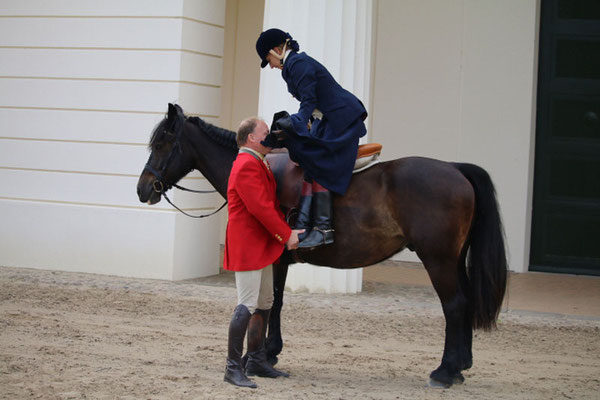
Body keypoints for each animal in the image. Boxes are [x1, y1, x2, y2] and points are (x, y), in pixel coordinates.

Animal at [137, 104, 506, 388]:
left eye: (163, 143)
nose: (143, 188)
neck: (259, 166)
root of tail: (455, 169)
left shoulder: (276, 260)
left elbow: (272, 304)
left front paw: (263, 354)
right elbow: (271, 304)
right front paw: (267, 354)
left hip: (438, 260)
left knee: (454, 305)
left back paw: (445, 371)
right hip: (453, 260)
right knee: (465, 302)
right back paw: (461, 366)